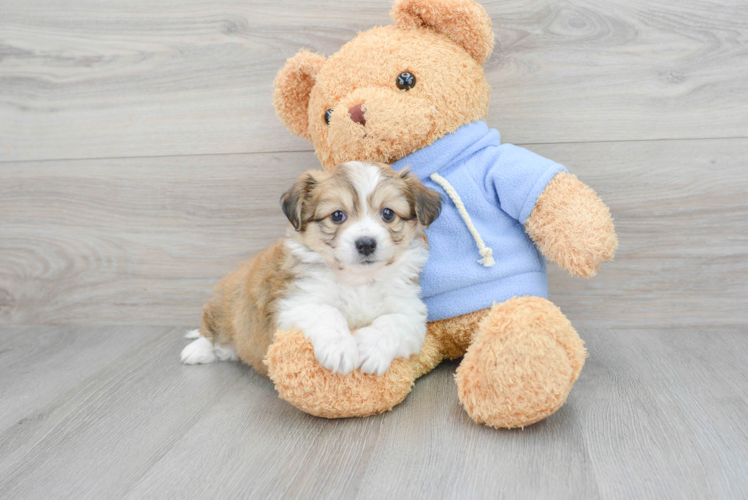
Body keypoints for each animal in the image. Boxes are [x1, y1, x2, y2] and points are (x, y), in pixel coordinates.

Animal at [180, 160, 442, 376]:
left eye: (388, 214)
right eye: (337, 216)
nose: (366, 244)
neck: (358, 280)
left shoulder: (411, 313)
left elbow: (393, 322)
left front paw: (370, 349)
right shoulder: (294, 305)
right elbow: (328, 312)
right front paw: (340, 349)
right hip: (222, 306)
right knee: (211, 332)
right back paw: (197, 350)